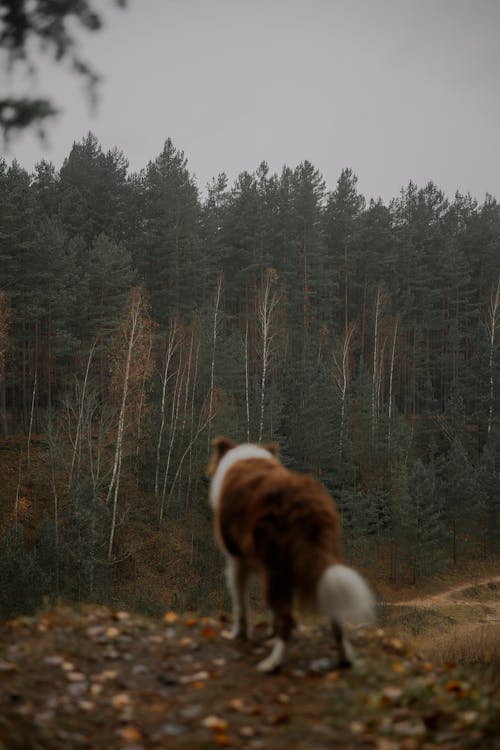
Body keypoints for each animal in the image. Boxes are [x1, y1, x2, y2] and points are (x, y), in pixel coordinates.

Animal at [207, 438, 376, 672]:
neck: (248, 456)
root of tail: (307, 504)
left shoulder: (237, 558)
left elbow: (240, 601)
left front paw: (238, 634)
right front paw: (269, 631)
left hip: (278, 566)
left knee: (286, 617)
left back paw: (272, 663)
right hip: (322, 561)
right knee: (334, 613)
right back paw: (345, 659)